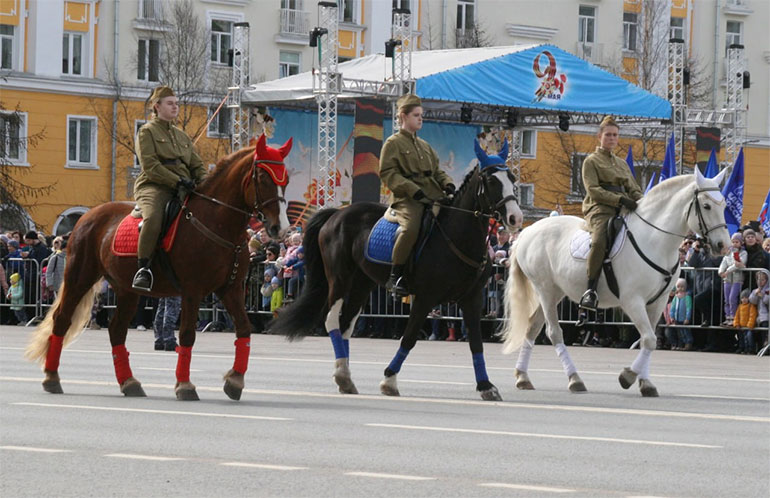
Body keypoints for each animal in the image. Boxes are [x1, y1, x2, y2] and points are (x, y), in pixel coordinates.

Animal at [24, 135, 292, 400]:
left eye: (286, 180)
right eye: (263, 177)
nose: (281, 228)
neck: (218, 224)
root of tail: (86, 217)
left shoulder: (231, 289)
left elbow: (244, 329)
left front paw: (235, 380)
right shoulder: (192, 290)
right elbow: (187, 334)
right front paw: (185, 385)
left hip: (127, 290)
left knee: (117, 330)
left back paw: (129, 382)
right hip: (80, 277)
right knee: (61, 320)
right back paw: (52, 377)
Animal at [268, 163, 520, 400]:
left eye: (512, 179)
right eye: (492, 181)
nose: (516, 217)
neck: (457, 237)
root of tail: (337, 214)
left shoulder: (472, 299)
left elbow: (476, 342)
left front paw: (486, 386)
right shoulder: (425, 298)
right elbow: (408, 339)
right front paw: (389, 381)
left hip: (362, 283)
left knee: (346, 323)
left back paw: (344, 376)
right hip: (339, 279)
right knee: (332, 319)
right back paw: (342, 373)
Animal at [500, 169, 728, 398]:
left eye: (724, 204)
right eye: (707, 206)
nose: (723, 245)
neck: (655, 241)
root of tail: (527, 232)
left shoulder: (658, 302)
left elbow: (649, 340)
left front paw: (645, 382)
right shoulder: (632, 301)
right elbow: (649, 339)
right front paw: (628, 376)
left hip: (555, 293)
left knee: (532, 327)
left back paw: (523, 377)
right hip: (545, 290)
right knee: (554, 333)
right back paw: (574, 379)